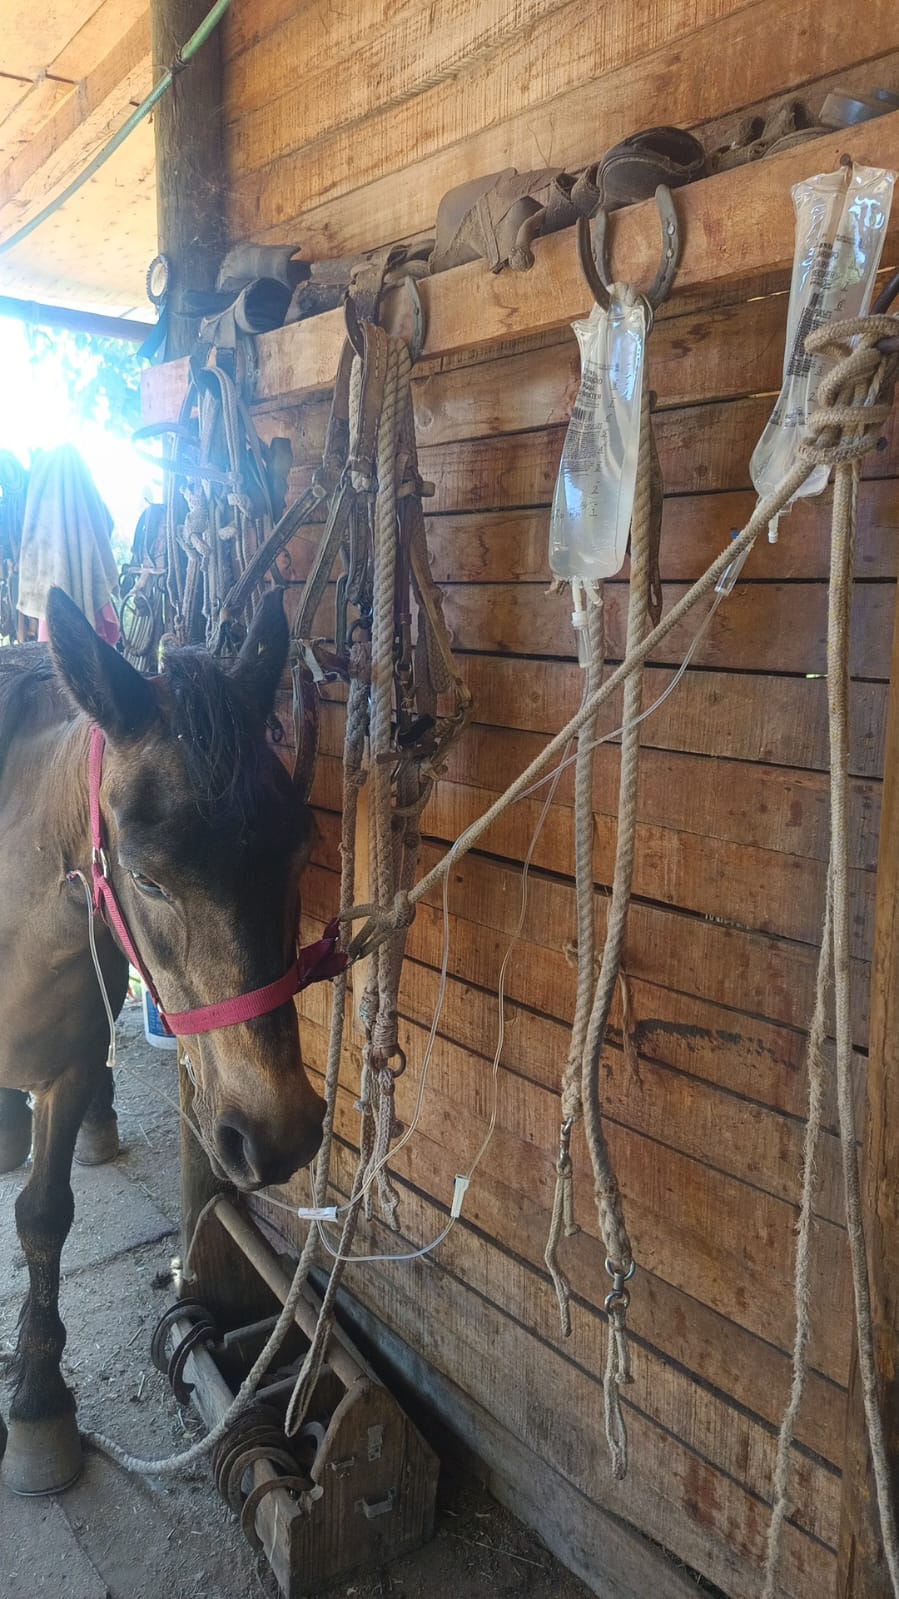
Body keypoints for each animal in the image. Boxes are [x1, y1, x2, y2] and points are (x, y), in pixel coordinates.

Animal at [0, 586, 326, 1496]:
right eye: (146, 877)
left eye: (302, 851)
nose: (279, 1130)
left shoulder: (72, 1064)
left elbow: (45, 1213)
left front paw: (37, 1400)